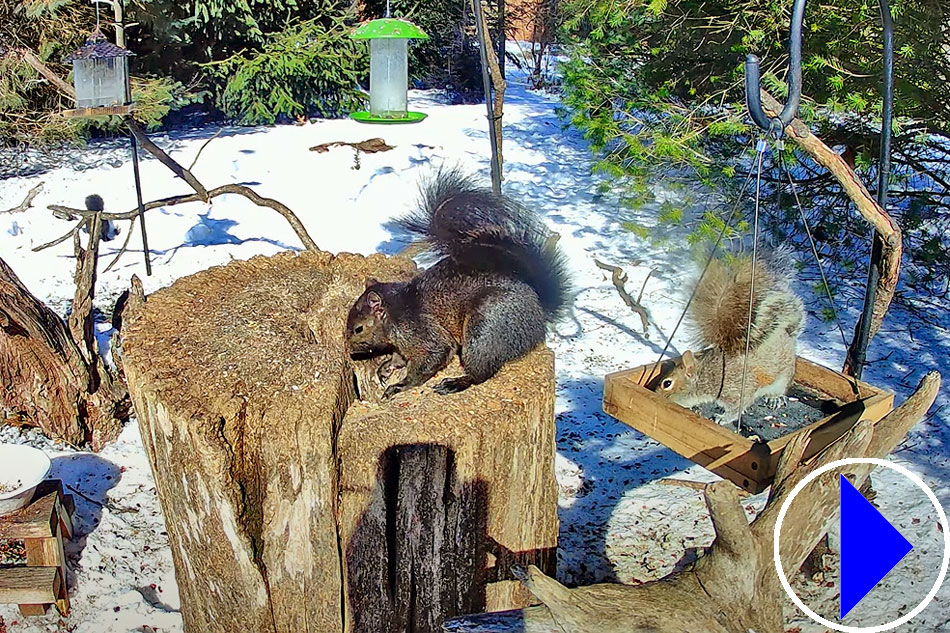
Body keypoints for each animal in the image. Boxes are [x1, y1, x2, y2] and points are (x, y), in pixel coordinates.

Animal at [350, 168, 572, 396]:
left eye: (358, 329)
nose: (350, 350)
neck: (396, 312)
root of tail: (539, 308)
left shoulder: (421, 332)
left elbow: (432, 356)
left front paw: (401, 385)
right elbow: (399, 357)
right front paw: (386, 367)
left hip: (484, 329)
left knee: (481, 373)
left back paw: (456, 382)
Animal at [652, 249, 808, 422]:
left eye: (667, 383)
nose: (655, 394)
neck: (707, 375)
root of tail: (787, 335)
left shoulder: (737, 388)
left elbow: (738, 407)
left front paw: (722, 418)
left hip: (783, 377)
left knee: (780, 389)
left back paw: (775, 398)